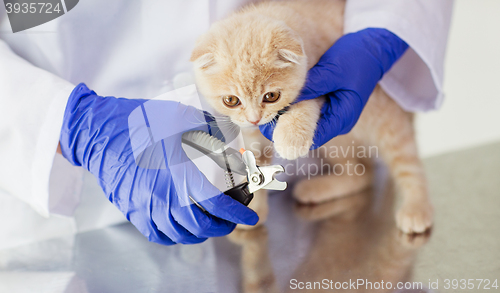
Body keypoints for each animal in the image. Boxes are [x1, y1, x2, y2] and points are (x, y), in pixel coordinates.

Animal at [189, 0, 432, 233]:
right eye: (231, 100)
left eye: (271, 96)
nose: (254, 119)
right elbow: (256, 161)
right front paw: (252, 209)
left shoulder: (320, 80)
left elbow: (303, 106)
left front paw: (290, 139)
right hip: (335, 143)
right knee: (364, 172)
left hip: (384, 119)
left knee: (407, 161)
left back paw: (416, 208)